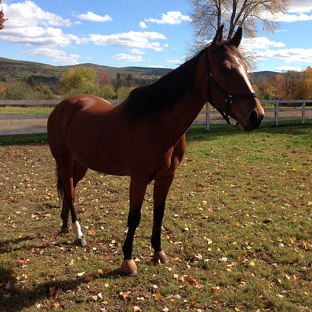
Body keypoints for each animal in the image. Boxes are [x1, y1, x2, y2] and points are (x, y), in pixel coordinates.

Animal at [48, 26, 264, 276]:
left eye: (246, 68)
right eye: (223, 69)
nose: (256, 116)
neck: (158, 124)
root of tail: (62, 106)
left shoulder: (166, 177)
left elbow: (158, 213)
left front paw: (158, 253)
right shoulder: (139, 179)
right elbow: (134, 217)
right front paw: (128, 261)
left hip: (80, 164)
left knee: (69, 190)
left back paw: (65, 225)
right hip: (64, 161)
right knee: (71, 194)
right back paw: (79, 235)